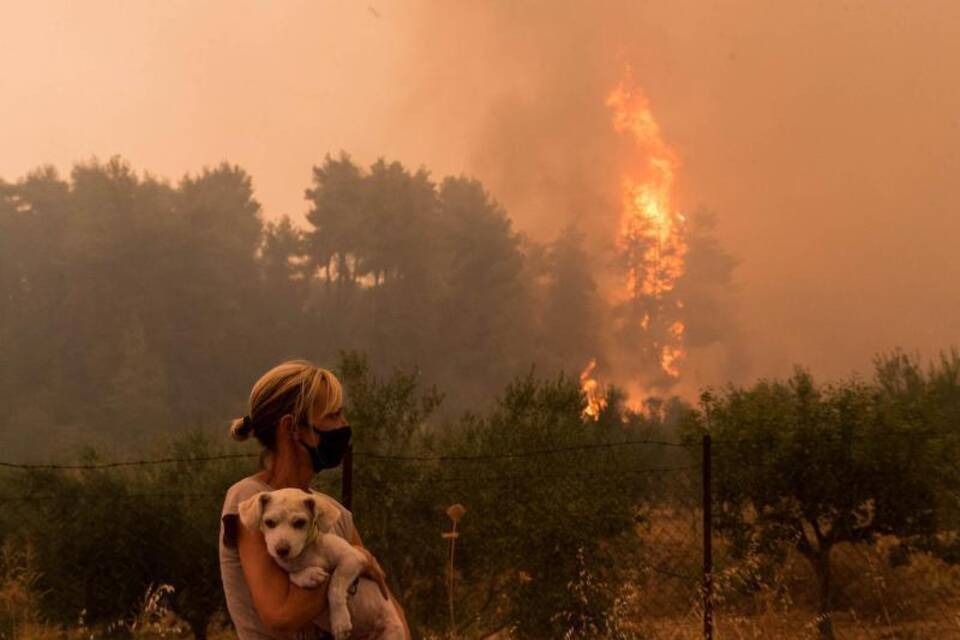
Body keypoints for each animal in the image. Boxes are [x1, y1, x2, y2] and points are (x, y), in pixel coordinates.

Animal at [242, 488, 406, 636]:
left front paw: (340, 622)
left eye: (299, 522)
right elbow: (292, 575)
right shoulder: (285, 565)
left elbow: (335, 586)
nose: (281, 550)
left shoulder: (352, 558)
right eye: (269, 522)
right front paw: (308, 576)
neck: (306, 553)